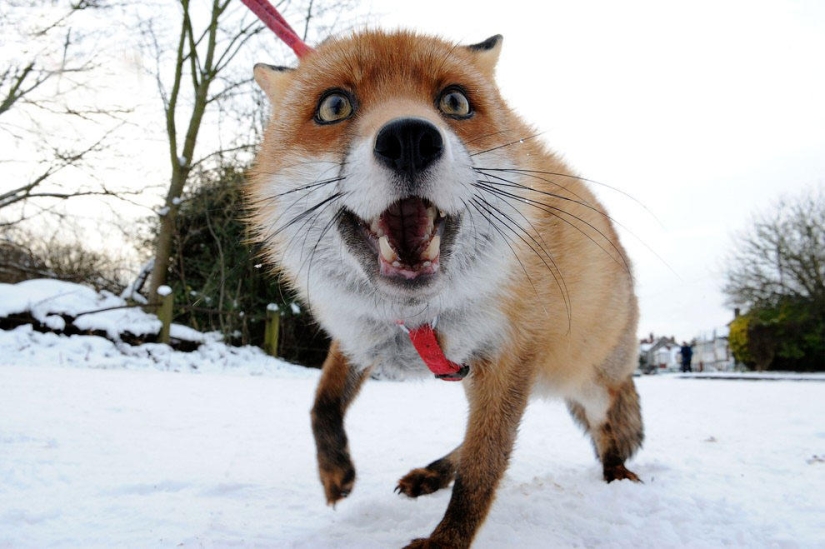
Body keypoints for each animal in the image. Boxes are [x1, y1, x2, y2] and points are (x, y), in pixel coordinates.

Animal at [247, 30, 643, 549]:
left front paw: (446, 540)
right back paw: (433, 473)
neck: (421, 318)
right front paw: (335, 473)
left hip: (590, 385)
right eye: (334, 105)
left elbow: (482, 466)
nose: (409, 139)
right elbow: (323, 402)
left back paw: (617, 473)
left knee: (606, 430)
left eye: (455, 102)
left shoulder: (508, 358)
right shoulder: (362, 337)